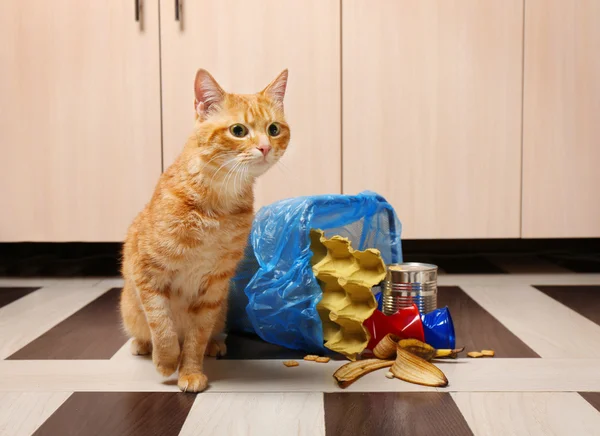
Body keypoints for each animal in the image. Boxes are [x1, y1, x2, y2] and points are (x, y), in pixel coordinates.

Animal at [119, 69, 288, 392]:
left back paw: (214, 345)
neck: (216, 206)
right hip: (129, 308)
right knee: (144, 329)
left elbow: (195, 337)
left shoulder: (214, 287)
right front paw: (166, 361)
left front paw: (190, 370)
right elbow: (162, 324)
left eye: (274, 129)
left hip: (222, 309)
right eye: (238, 130)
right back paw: (141, 345)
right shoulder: (147, 273)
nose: (265, 147)